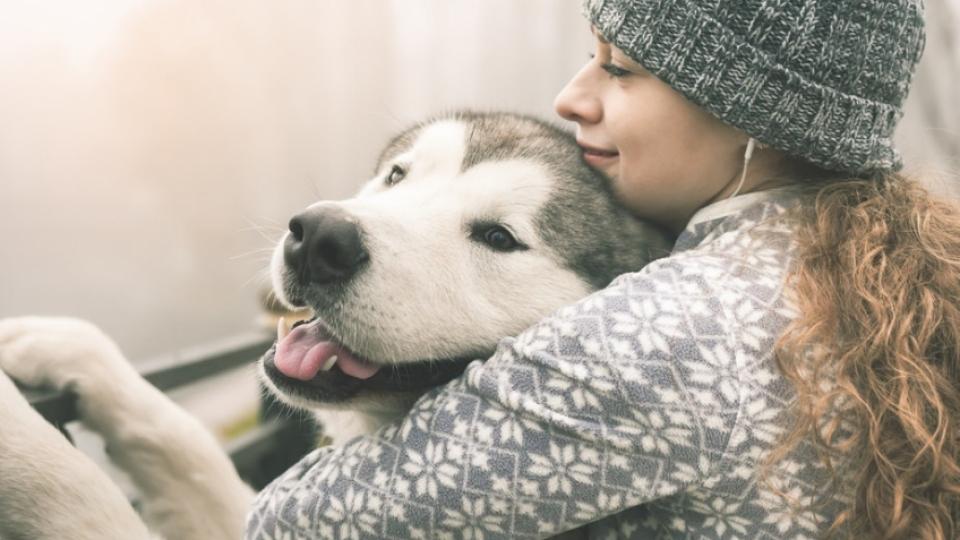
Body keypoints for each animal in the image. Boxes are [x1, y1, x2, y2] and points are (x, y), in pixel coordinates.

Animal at [0, 110, 672, 540]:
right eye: (397, 175)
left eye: (499, 237)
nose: (320, 236)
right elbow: (182, 440)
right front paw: (64, 346)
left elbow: (78, 491)